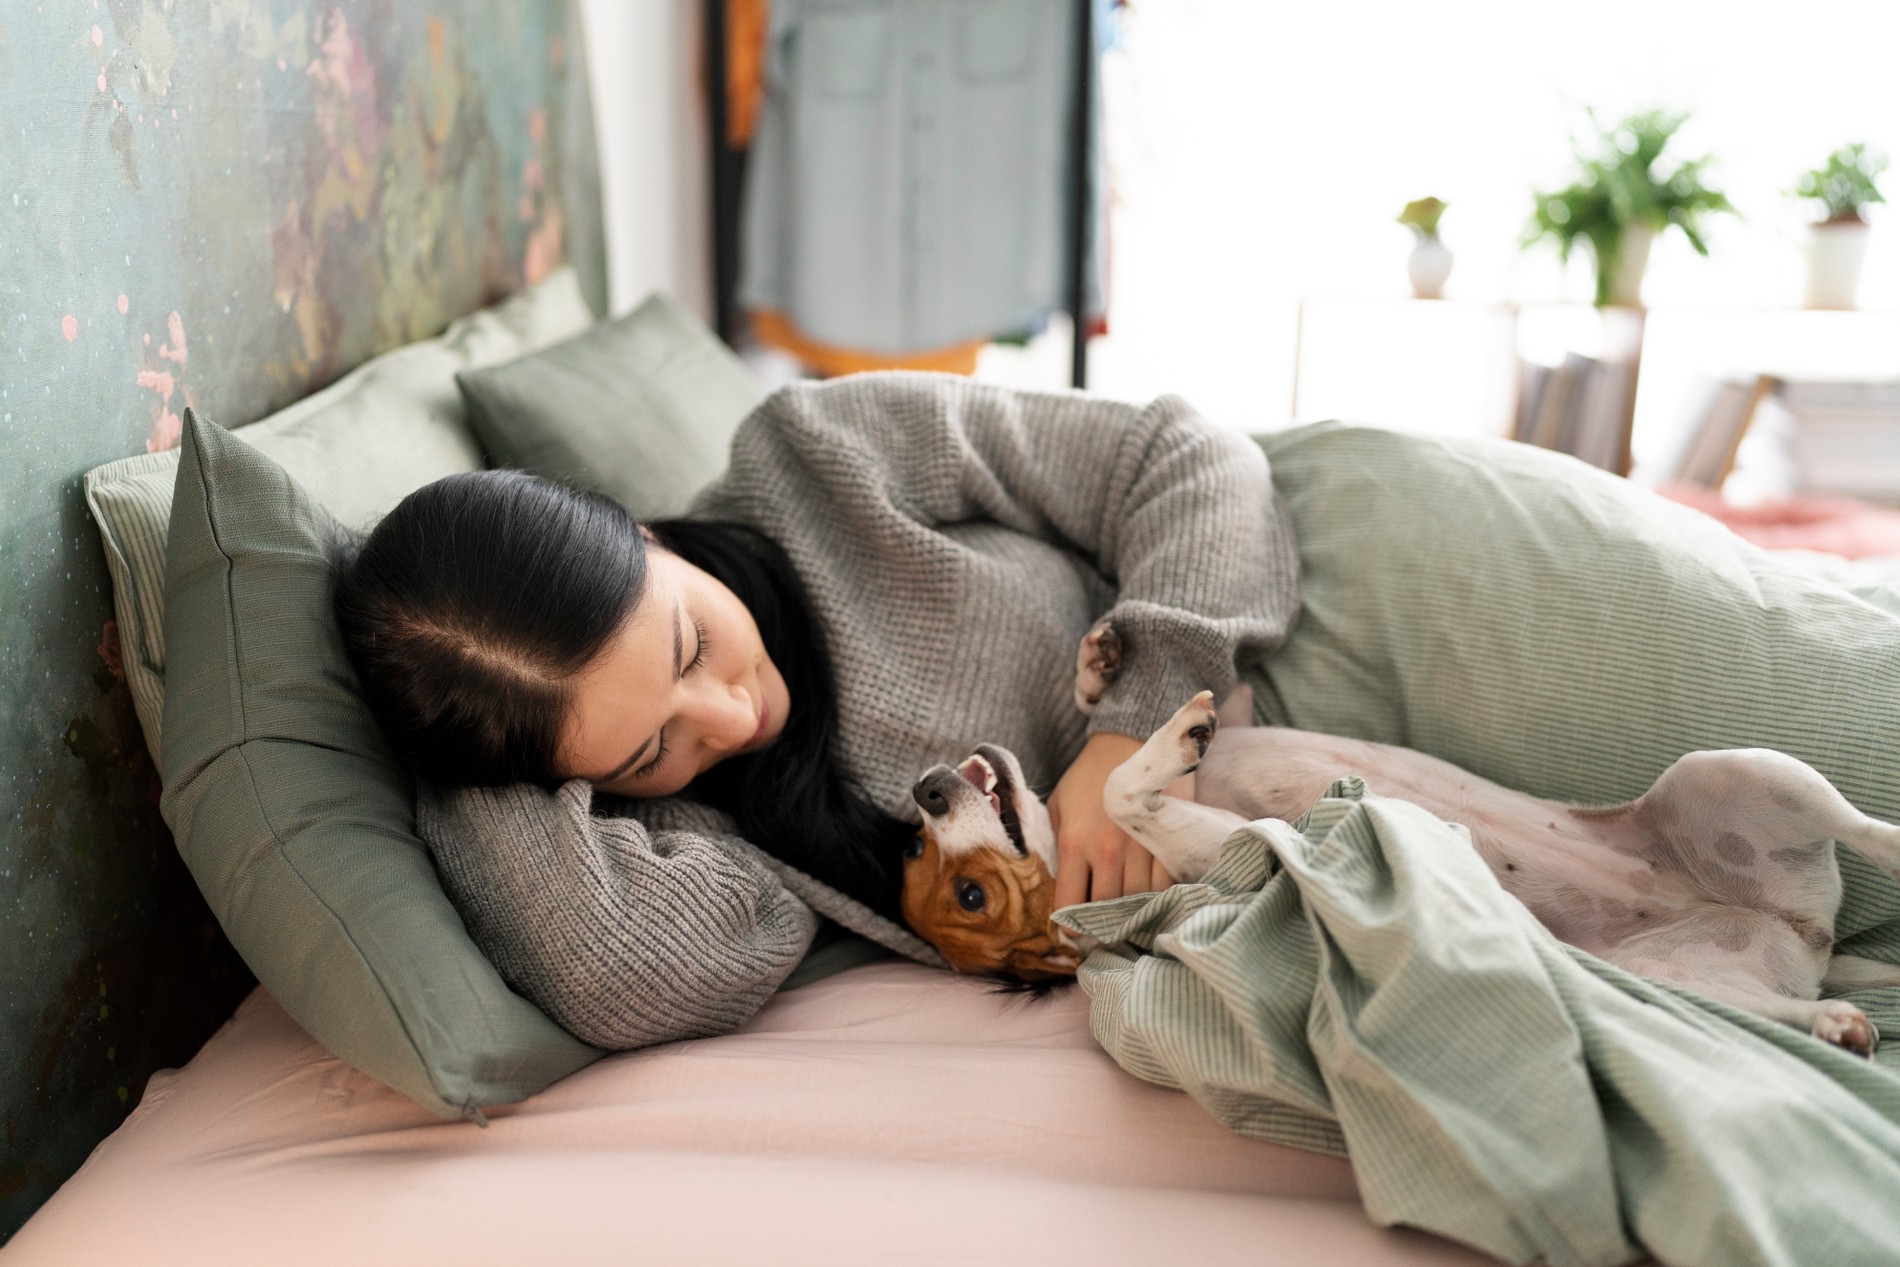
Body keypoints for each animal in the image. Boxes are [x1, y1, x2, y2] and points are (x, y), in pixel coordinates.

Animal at [896, 619, 1900, 1056]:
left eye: (919, 842)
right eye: (968, 895)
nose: (925, 787)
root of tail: (1805, 936)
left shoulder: (1246, 715)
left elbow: (1117, 726)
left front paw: (1104, 662)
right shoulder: (1217, 839)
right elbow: (1125, 782)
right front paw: (1169, 734)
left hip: (1738, 774)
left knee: (1862, 827)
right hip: (1683, 956)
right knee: (1779, 999)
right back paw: (1837, 1022)